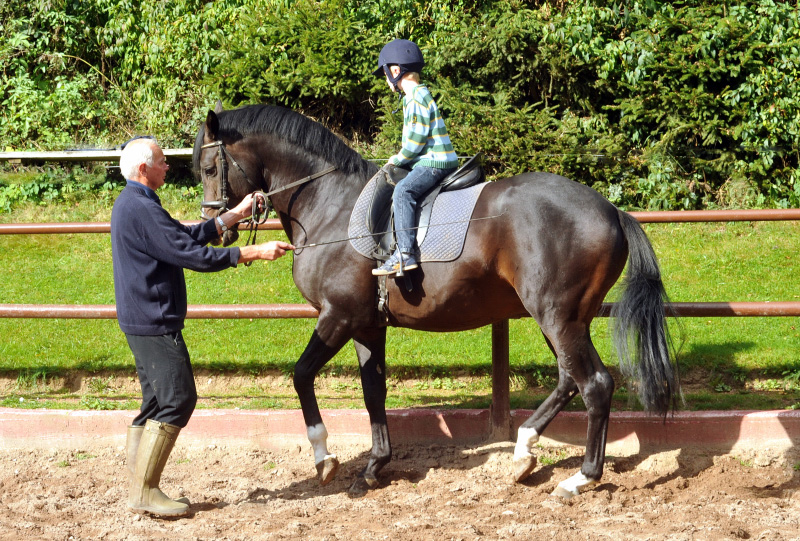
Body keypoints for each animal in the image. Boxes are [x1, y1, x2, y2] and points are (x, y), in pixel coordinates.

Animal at [192, 102, 676, 498]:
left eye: (210, 168)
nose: (216, 227)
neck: (330, 207)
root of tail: (611, 210)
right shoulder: (367, 324)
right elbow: (373, 392)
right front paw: (374, 467)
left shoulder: (337, 317)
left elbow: (301, 376)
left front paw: (324, 458)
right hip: (561, 318)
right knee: (569, 380)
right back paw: (523, 451)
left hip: (558, 316)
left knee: (594, 384)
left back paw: (581, 478)